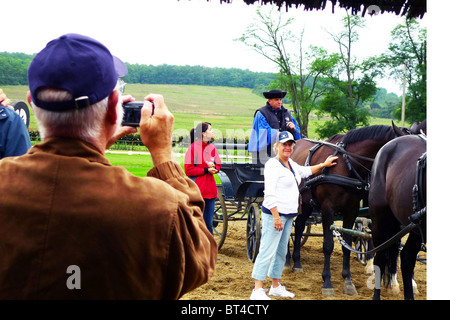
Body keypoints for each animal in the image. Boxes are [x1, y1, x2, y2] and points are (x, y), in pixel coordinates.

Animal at [286, 124, 400, 296]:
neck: (345, 165)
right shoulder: (328, 209)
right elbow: (328, 245)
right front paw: (327, 282)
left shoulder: (351, 210)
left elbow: (347, 243)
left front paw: (348, 281)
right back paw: (287, 260)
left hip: (306, 203)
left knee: (299, 226)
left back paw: (297, 262)